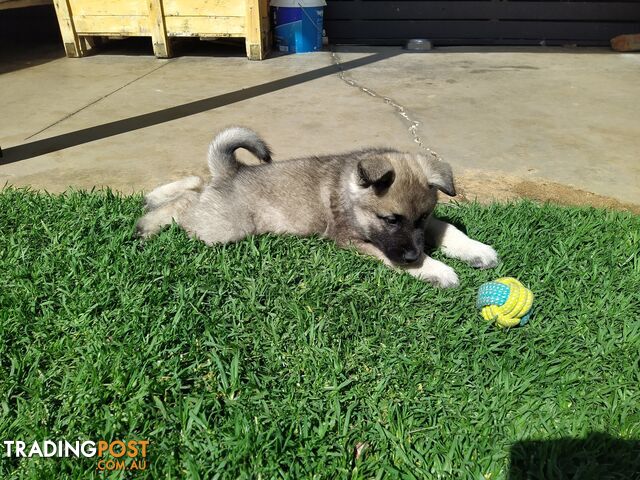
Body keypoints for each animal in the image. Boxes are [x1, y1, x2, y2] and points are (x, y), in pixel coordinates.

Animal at [135, 125, 498, 286]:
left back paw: (153, 199)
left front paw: (477, 250)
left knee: (195, 184)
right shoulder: (353, 240)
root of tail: (232, 171)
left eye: (421, 218)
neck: (351, 195)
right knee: (186, 205)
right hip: (224, 229)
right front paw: (436, 269)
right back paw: (148, 223)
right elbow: (398, 257)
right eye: (390, 220)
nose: (411, 254)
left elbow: (449, 229)